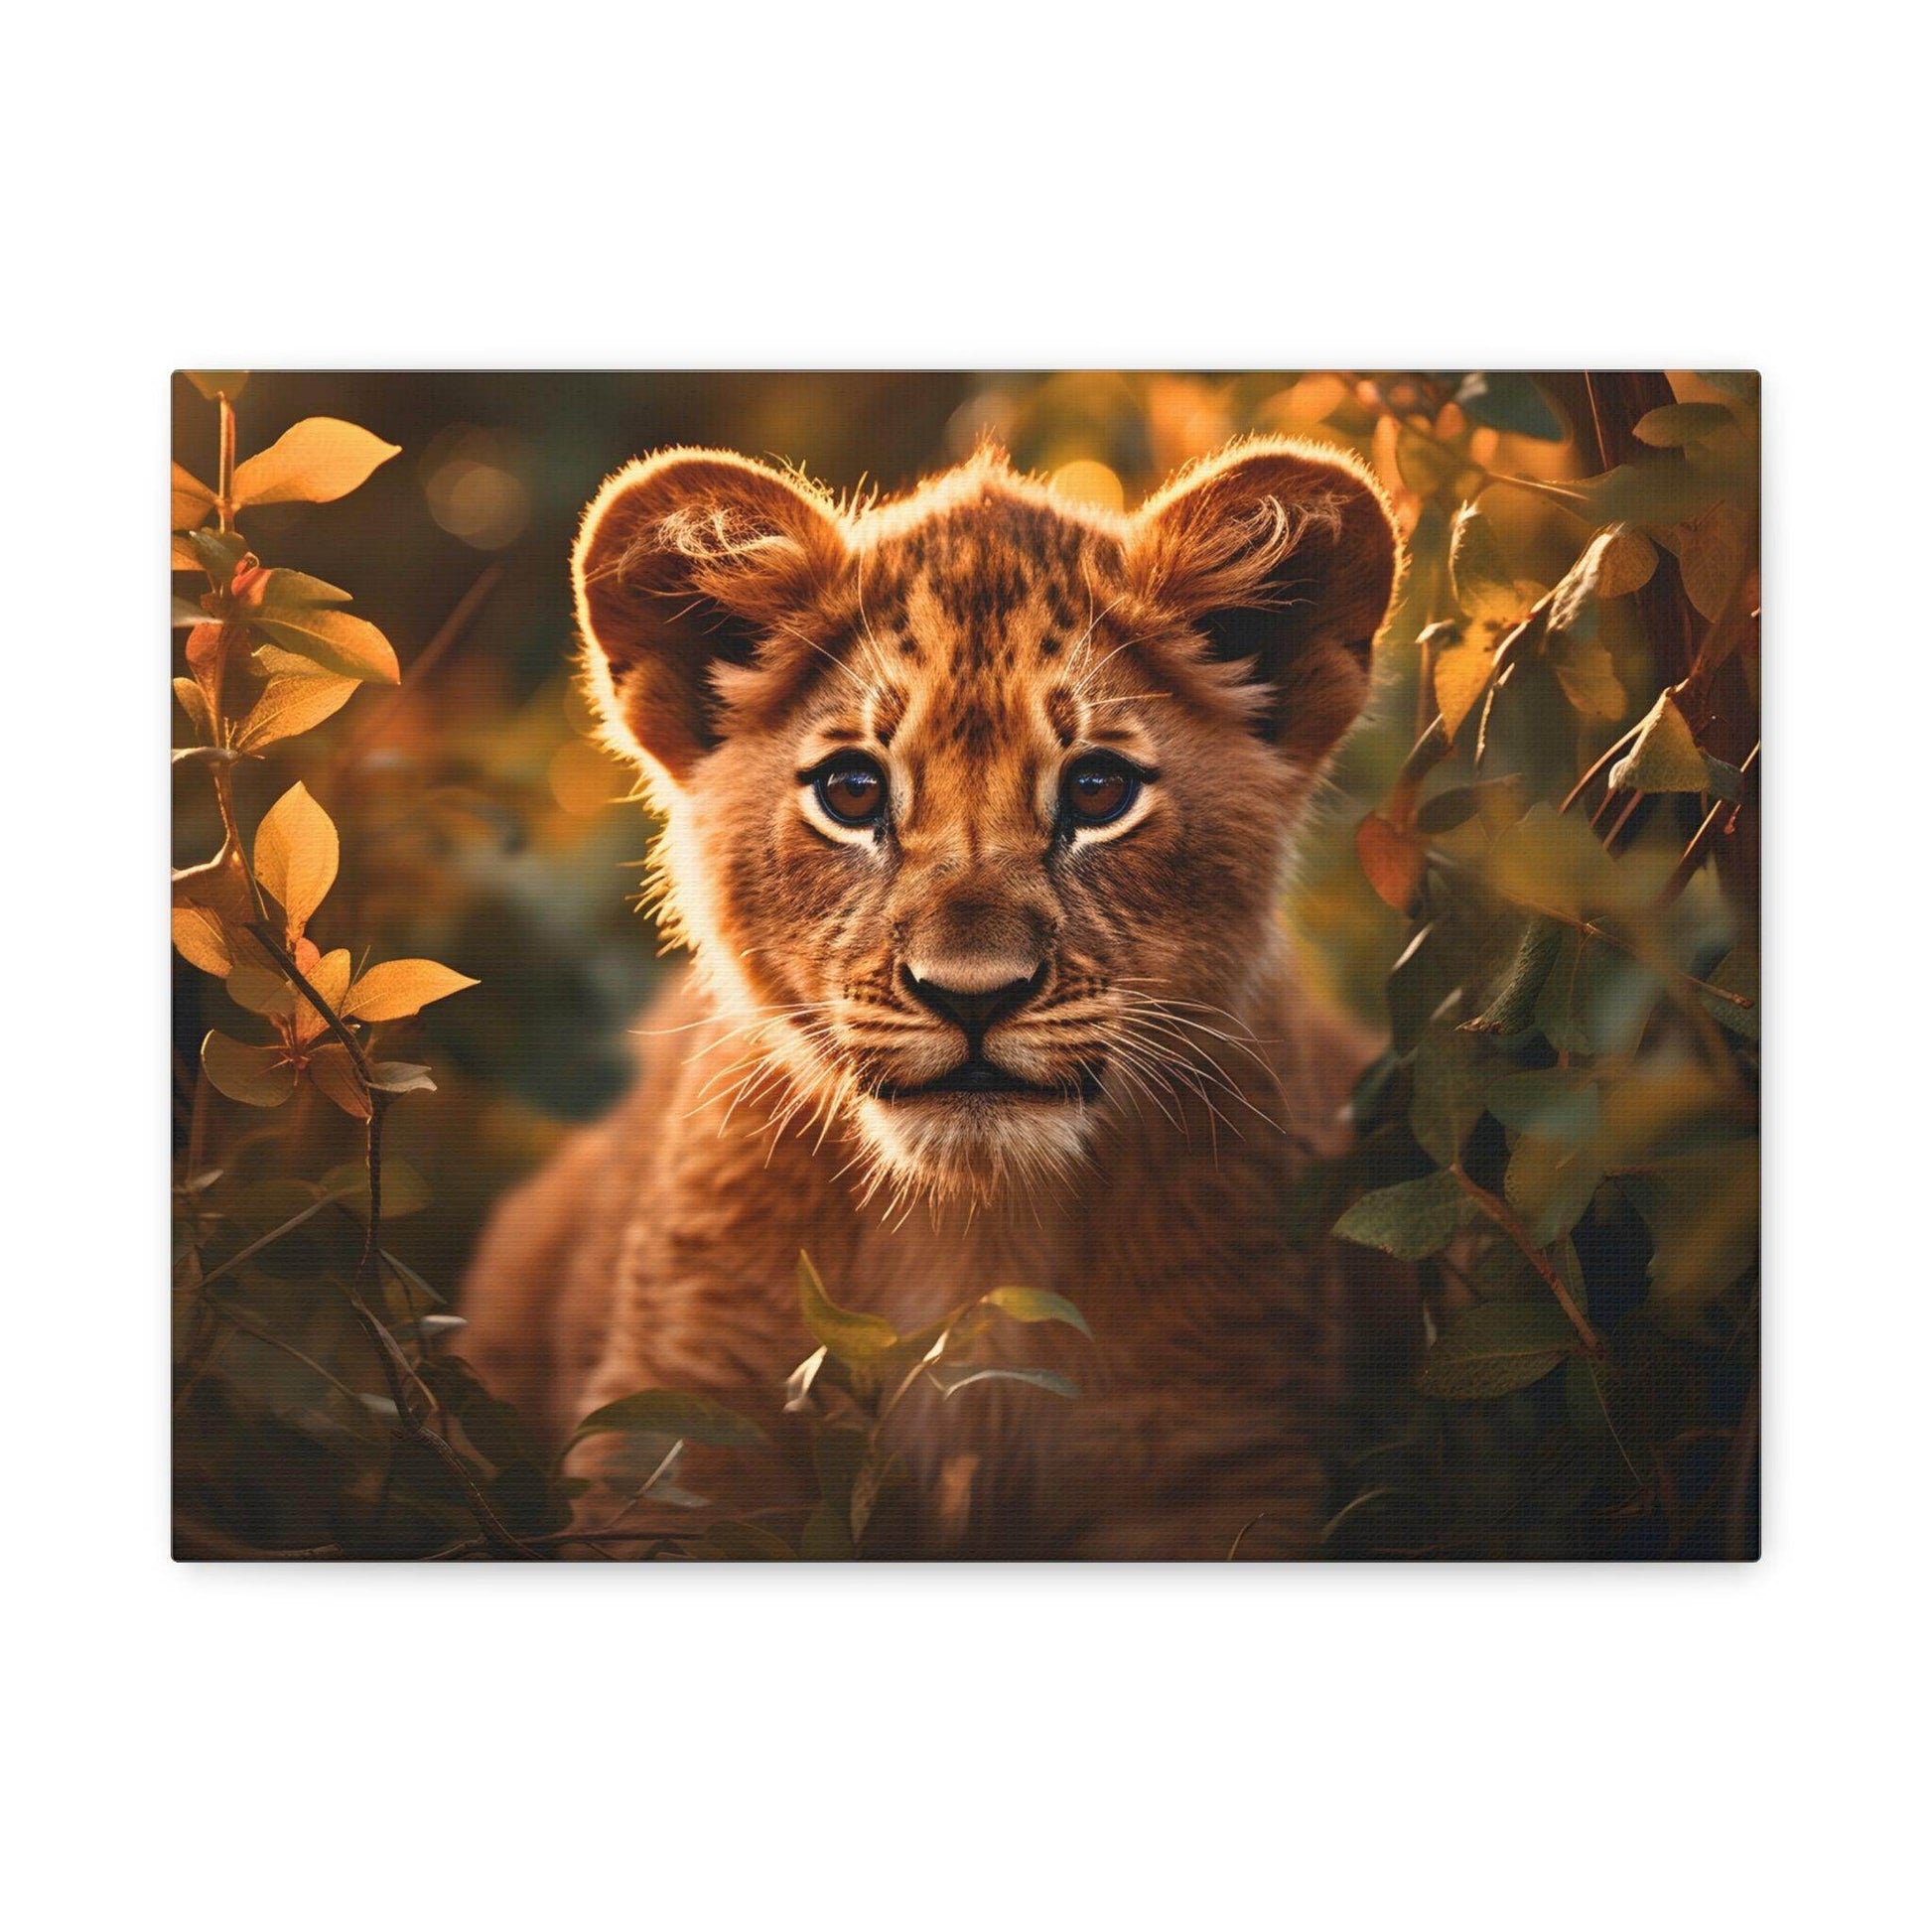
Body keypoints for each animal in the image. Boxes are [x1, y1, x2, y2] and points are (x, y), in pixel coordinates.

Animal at [459, 434, 1409, 1558]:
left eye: (1097, 791)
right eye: (852, 792)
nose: (972, 996)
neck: (974, 1232)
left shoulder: (1218, 1453)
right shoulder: (681, 1435)